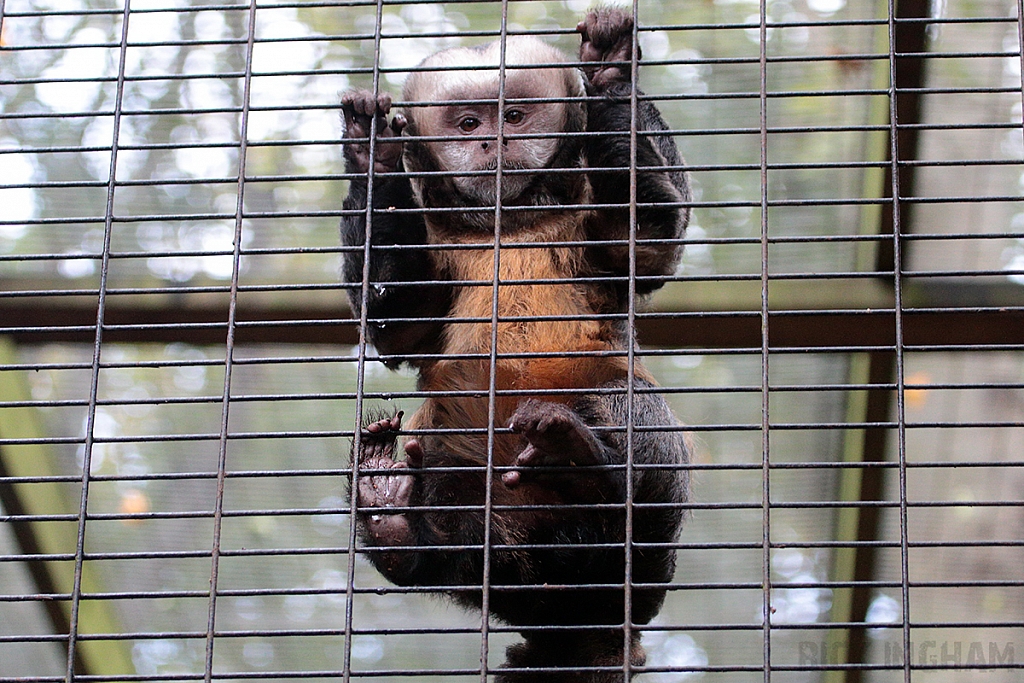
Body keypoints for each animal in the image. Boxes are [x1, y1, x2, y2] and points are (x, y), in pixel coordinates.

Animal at [342, 6, 688, 683]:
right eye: (469, 123)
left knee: (626, 404)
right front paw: (373, 156)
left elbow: (645, 239)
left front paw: (611, 72)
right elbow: (398, 326)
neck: (511, 219)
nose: (491, 142)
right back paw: (395, 519)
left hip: (642, 550)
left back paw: (583, 464)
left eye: (516, 116)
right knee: (461, 520)